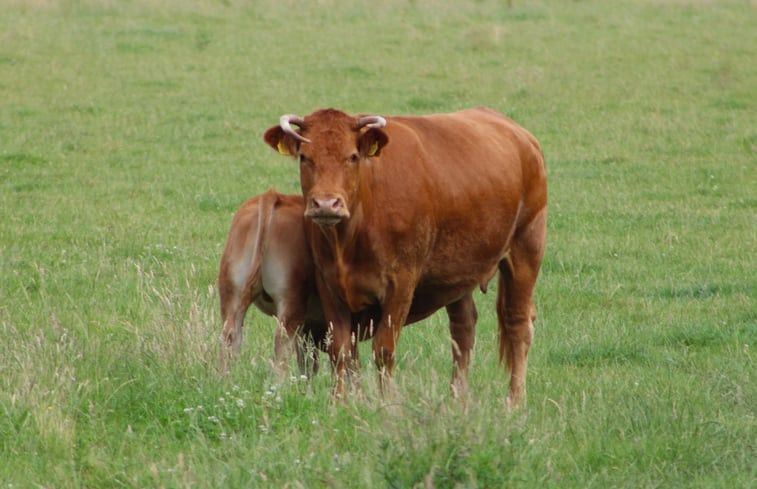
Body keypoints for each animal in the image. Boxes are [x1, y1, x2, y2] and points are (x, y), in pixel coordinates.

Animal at [262, 107, 548, 404]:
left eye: (352, 156)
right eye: (305, 158)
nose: (326, 204)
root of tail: (520, 135)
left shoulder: (401, 285)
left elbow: (383, 350)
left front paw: (387, 403)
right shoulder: (328, 283)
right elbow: (339, 348)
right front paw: (337, 402)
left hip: (526, 248)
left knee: (518, 324)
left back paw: (514, 401)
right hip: (459, 274)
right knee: (463, 329)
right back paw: (457, 400)